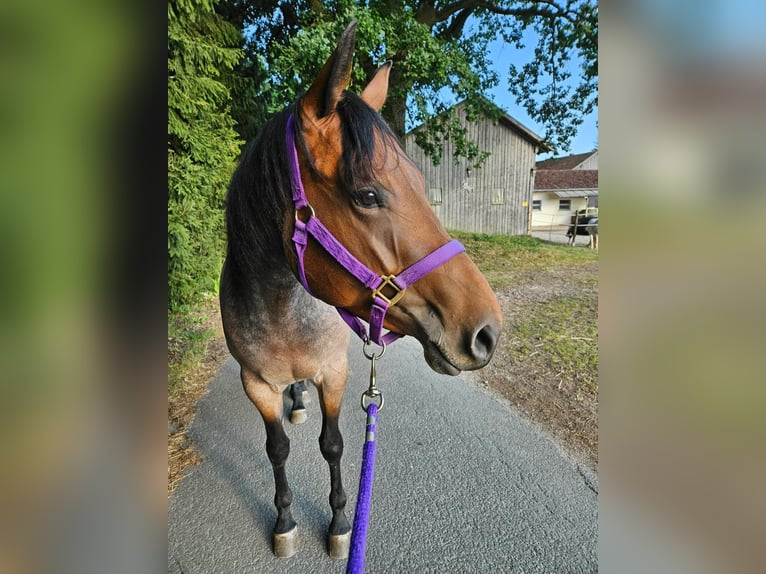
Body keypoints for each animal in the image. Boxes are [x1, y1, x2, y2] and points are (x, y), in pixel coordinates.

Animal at [219, 21, 503, 560]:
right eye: (367, 195)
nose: (487, 332)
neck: (283, 307)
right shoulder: (255, 383)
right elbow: (277, 449)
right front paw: (284, 521)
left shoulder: (335, 371)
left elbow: (332, 444)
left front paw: (339, 522)